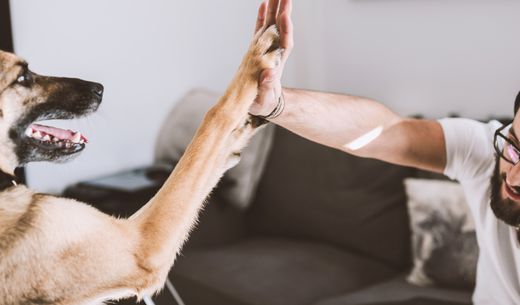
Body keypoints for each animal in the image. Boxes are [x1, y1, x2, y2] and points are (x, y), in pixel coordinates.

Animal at [0, 24, 282, 304]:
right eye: (22, 78)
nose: (99, 88)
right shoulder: (142, 244)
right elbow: (213, 121)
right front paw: (254, 60)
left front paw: (241, 132)